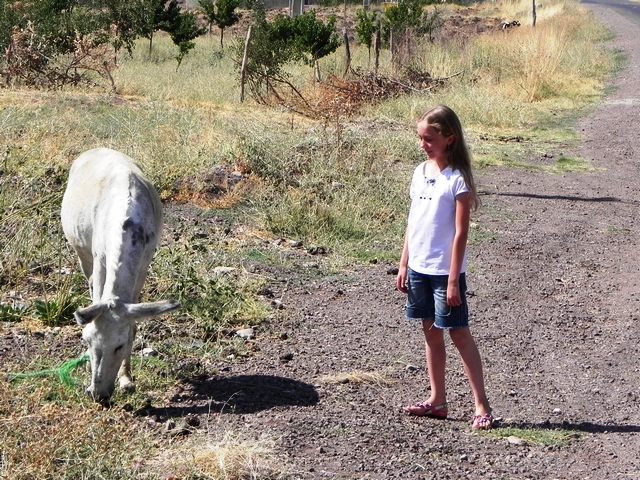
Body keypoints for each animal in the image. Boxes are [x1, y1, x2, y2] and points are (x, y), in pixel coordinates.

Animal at [60, 148, 180, 404]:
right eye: (87, 340)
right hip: (81, 250)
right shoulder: (99, 258)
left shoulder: (144, 262)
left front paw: (126, 380)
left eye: (120, 345)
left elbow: (133, 322)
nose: (98, 395)